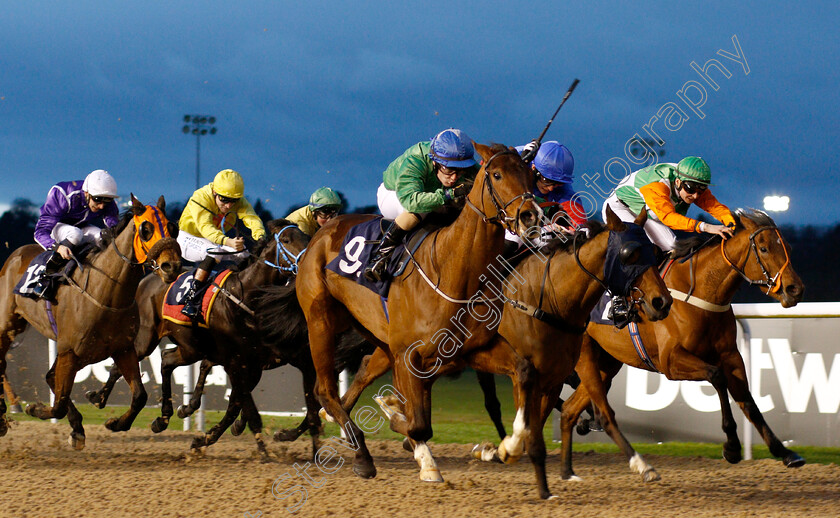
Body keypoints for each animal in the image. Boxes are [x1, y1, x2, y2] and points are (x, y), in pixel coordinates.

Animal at [0, 197, 179, 448]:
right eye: (146, 229)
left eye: (173, 227)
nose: (171, 266)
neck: (104, 293)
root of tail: (16, 254)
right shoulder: (69, 351)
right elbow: (58, 404)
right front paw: (33, 408)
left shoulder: (123, 348)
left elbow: (140, 396)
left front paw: (115, 423)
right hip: (7, 326)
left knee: (49, 377)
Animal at [298, 143, 540, 484]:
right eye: (496, 174)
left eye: (530, 174)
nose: (530, 215)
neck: (452, 270)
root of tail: (321, 233)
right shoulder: (409, 353)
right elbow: (418, 423)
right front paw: (412, 441)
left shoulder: (471, 349)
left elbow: (524, 371)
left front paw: (508, 445)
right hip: (320, 321)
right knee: (325, 390)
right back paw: (362, 454)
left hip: (377, 333)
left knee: (363, 370)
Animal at [556, 208, 808, 484]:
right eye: (763, 249)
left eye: (788, 248)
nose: (795, 289)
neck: (702, 293)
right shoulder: (671, 361)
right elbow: (717, 377)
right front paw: (731, 447)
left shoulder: (731, 355)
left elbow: (748, 401)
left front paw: (784, 452)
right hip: (586, 356)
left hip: (606, 363)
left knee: (569, 409)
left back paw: (568, 471)